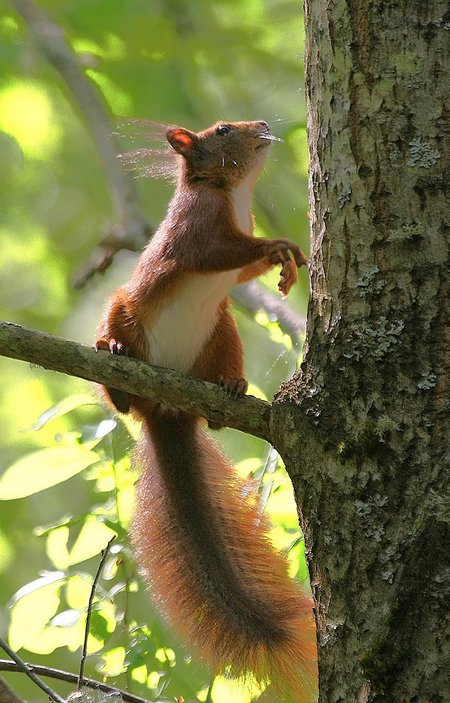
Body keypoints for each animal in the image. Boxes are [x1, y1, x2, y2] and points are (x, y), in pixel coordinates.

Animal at [96, 122, 318, 703]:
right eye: (222, 130)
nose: (264, 127)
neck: (232, 193)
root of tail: (167, 410)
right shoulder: (198, 230)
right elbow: (217, 253)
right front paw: (281, 249)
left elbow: (240, 270)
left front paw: (282, 265)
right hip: (122, 307)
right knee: (117, 356)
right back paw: (116, 367)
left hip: (223, 331)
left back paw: (229, 388)